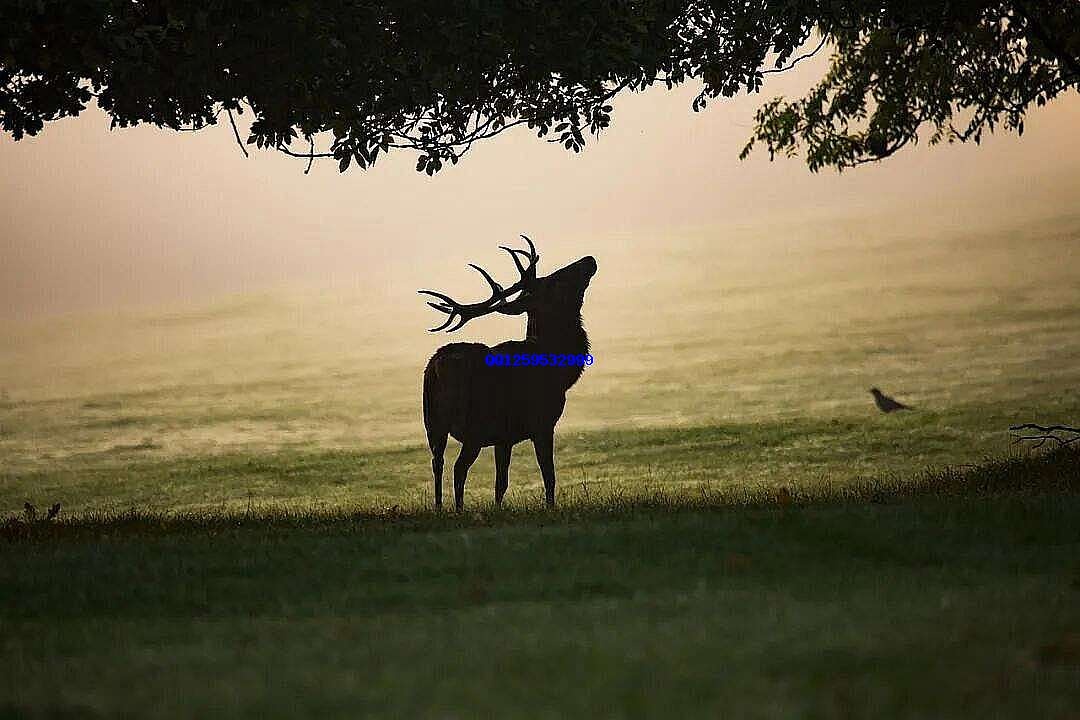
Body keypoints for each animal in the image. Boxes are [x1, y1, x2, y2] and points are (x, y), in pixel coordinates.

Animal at [419, 235, 597, 511]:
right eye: (555, 280)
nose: (589, 259)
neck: (560, 373)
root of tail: (435, 369)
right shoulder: (542, 423)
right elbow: (549, 475)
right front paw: (550, 508)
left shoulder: (504, 437)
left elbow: (500, 483)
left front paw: (498, 509)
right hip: (473, 425)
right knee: (458, 468)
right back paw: (458, 510)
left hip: (432, 422)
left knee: (438, 464)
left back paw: (440, 508)